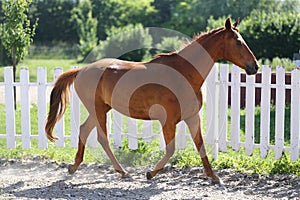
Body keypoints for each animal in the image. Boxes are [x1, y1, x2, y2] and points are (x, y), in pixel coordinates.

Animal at [45, 18, 258, 184]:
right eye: (237, 42)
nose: (254, 66)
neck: (184, 73)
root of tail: (81, 70)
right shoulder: (168, 121)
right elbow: (171, 149)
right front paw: (150, 173)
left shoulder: (192, 117)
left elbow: (200, 145)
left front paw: (214, 177)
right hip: (97, 109)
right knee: (101, 138)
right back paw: (122, 171)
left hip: (101, 109)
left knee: (84, 130)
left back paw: (75, 167)